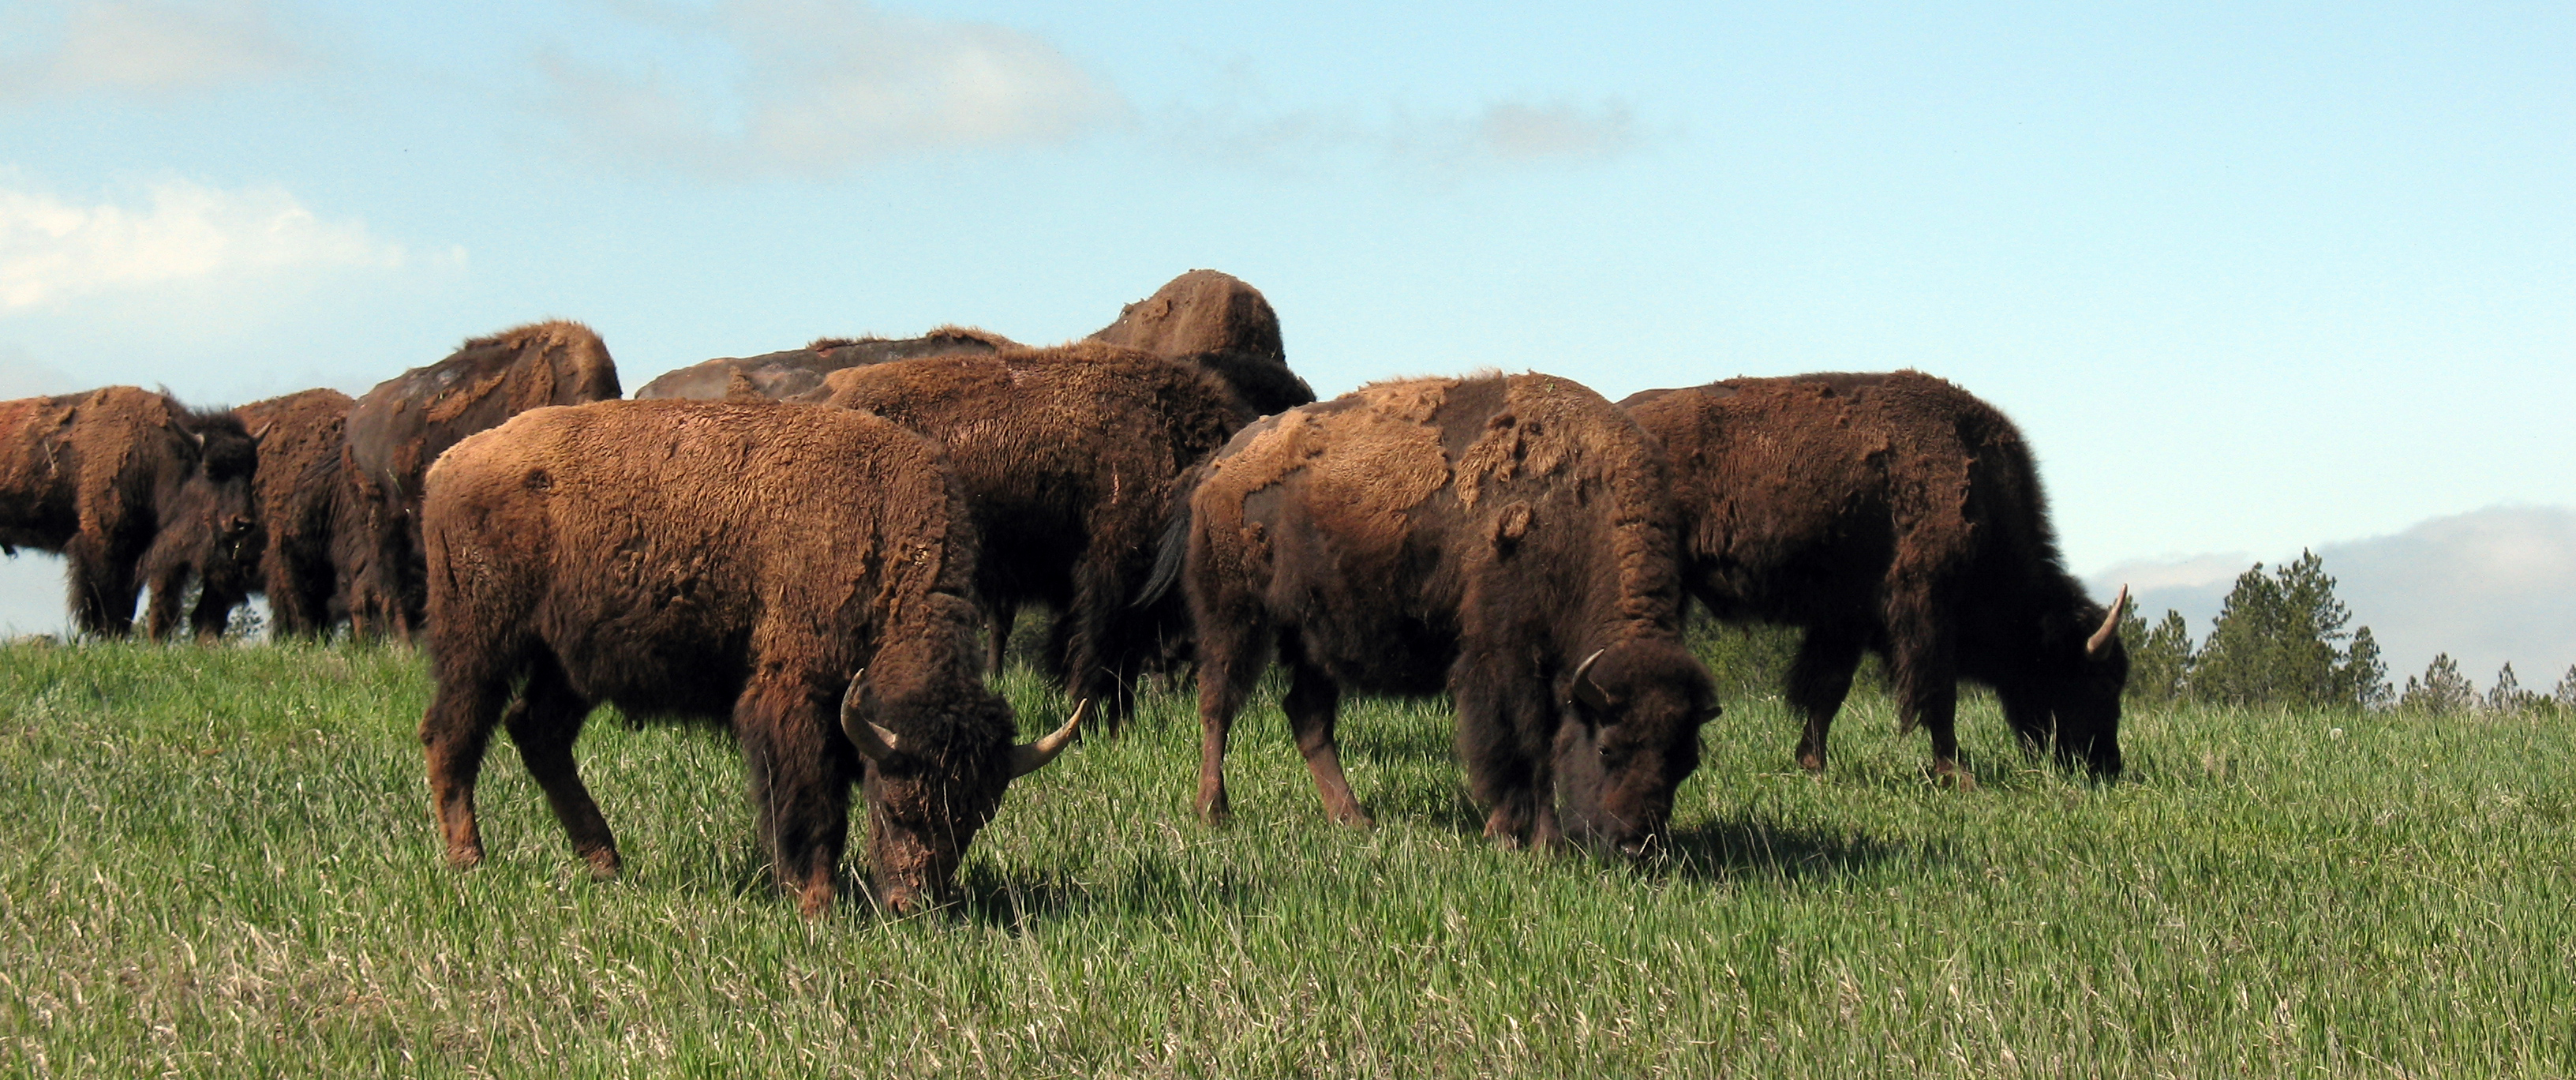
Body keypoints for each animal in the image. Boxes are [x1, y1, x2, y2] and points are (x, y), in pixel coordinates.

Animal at [0, 386, 257, 637]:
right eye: (210, 469)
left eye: (250, 472)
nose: (242, 522)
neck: (154, 455)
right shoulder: (101, 545)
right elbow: (105, 600)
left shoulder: (135, 552)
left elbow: (126, 604)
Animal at [418, 398, 1081, 915]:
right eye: (896, 806)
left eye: (975, 818)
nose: (913, 906)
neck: (876, 516)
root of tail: (450, 463)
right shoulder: (794, 693)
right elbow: (810, 801)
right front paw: (814, 902)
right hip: (480, 641)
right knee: (451, 734)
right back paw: (469, 860)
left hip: (570, 665)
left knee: (537, 734)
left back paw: (605, 862)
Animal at [1171, 372, 1721, 853]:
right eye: (1607, 747)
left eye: (1687, 760)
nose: (1635, 846)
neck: (1575, 513)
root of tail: (1220, 463)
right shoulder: (1507, 656)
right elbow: (1526, 745)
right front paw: (1526, 840)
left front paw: (1525, 837)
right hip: (1234, 614)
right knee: (1218, 702)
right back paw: (1213, 811)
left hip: (1311, 635)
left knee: (1307, 717)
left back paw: (1353, 818)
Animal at [1620, 371, 2127, 784]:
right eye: (2097, 682)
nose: (2107, 765)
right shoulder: (1924, 607)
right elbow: (1936, 693)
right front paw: (1956, 774)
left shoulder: (1847, 620)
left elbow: (1828, 690)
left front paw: (1813, 765)